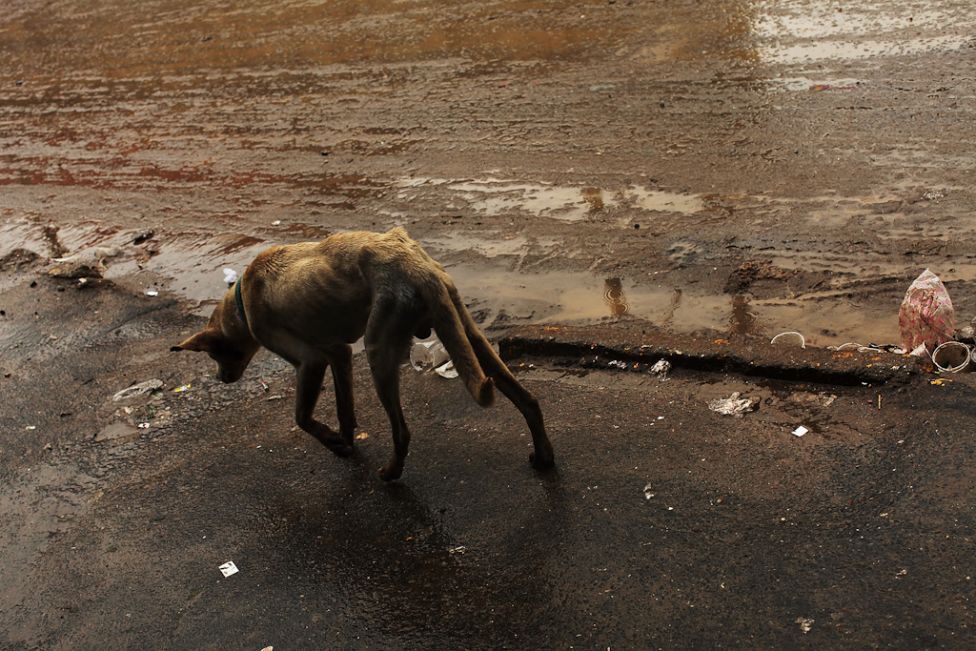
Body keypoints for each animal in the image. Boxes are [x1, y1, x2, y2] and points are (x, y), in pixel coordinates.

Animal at [173, 228, 556, 478]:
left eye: (214, 356)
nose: (221, 379)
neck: (241, 299)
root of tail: (415, 264)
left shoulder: (309, 360)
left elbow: (302, 417)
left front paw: (332, 442)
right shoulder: (338, 354)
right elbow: (345, 409)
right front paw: (343, 441)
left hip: (378, 351)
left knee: (402, 431)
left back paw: (390, 473)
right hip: (466, 331)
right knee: (528, 399)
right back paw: (544, 456)